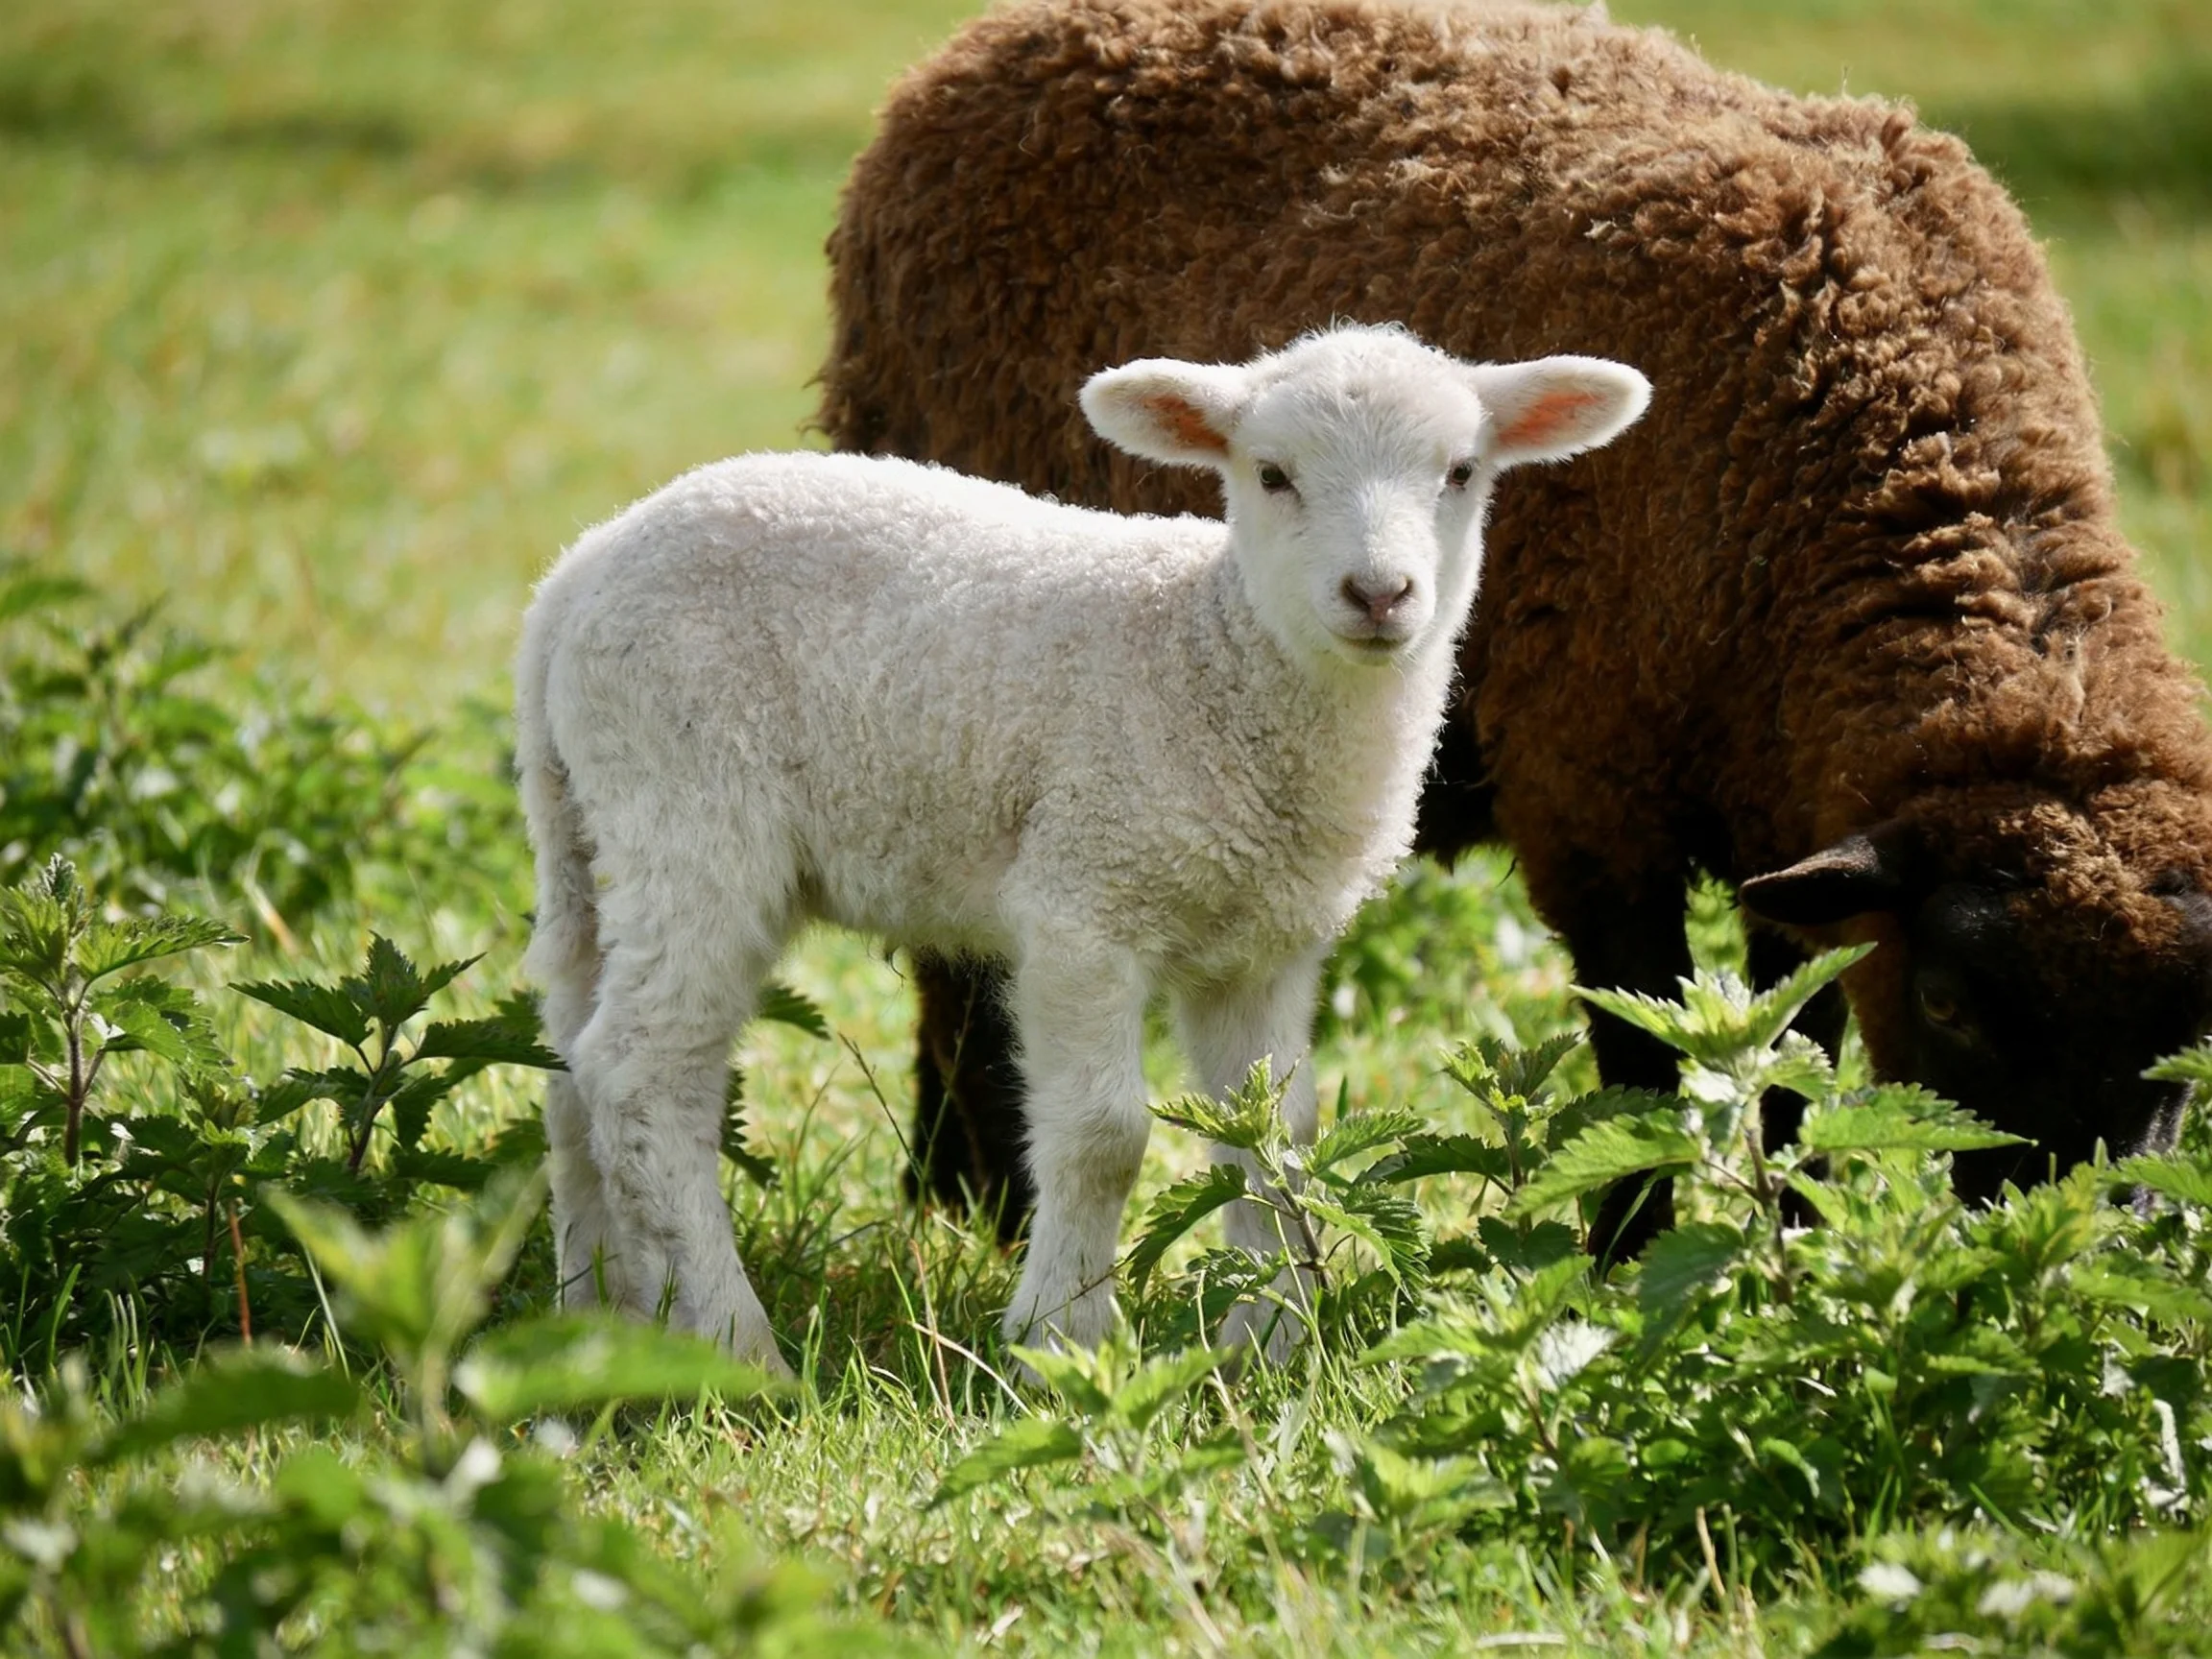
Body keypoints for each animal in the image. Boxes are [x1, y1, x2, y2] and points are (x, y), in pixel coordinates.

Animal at [518, 323, 1649, 1368]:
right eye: (1271, 474)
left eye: (1460, 472)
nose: (1379, 596)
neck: (1208, 657)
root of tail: (576, 574)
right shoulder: (1083, 899)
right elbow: (1107, 1137)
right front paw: (1061, 1338)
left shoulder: (1263, 944)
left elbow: (1280, 1137)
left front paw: (1269, 1343)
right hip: (693, 808)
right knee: (643, 1072)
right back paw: (738, 1342)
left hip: (587, 829)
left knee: (569, 1068)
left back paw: (598, 1314)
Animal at [819, 0, 2212, 1254]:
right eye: (1950, 1000)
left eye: (2189, 1038)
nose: (2078, 1243)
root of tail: (979, 49)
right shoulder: (1594, 797)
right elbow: (1642, 1063)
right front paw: (1624, 1266)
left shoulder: (1796, 824)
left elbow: (1798, 1071)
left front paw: (1806, 1260)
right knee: (957, 965)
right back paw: (983, 1202)